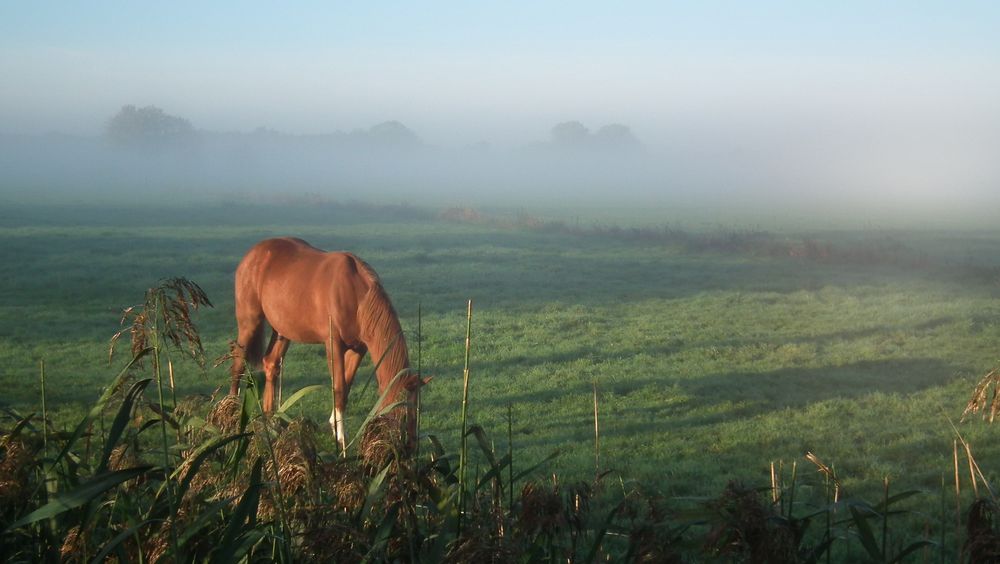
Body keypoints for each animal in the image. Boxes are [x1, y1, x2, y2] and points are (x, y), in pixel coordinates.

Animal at [229, 237, 418, 450]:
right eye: (403, 413)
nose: (411, 447)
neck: (355, 295)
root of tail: (254, 253)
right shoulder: (333, 344)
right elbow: (339, 387)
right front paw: (341, 438)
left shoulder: (358, 349)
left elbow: (346, 386)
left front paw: (334, 426)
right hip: (249, 322)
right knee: (237, 364)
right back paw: (232, 415)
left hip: (282, 330)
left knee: (271, 364)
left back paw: (272, 422)